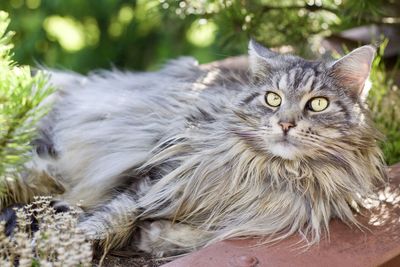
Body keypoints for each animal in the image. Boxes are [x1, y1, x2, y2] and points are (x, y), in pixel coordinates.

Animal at [0, 40, 388, 258]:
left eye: (318, 104)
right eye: (272, 99)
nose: (286, 124)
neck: (271, 173)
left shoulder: (272, 218)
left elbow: (208, 235)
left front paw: (156, 236)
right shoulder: (155, 177)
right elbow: (113, 218)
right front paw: (73, 243)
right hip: (46, 158)